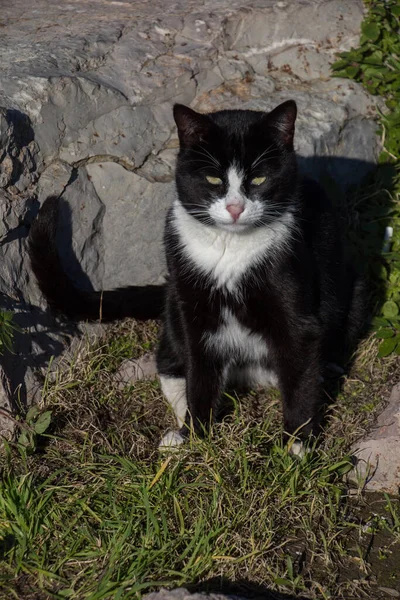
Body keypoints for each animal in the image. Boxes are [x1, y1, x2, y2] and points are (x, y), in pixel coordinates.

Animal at [28, 101, 366, 452]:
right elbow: (199, 371)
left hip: (353, 288)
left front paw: (297, 448)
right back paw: (176, 430)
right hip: (175, 299)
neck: (230, 249)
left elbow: (299, 371)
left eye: (259, 178)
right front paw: (194, 437)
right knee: (168, 359)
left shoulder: (295, 305)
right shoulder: (192, 302)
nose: (235, 208)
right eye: (213, 178)